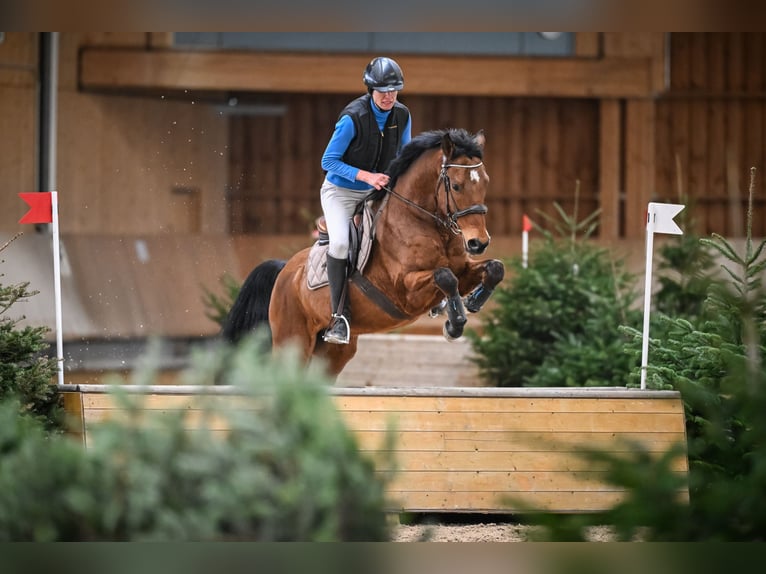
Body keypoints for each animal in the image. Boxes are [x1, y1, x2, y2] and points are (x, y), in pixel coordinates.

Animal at [222, 128, 508, 378]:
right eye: (456, 186)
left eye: (485, 182)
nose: (478, 243)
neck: (425, 222)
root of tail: (285, 270)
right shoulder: (406, 290)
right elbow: (445, 276)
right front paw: (455, 323)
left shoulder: (464, 270)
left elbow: (494, 268)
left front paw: (473, 302)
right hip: (293, 340)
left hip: (333, 353)